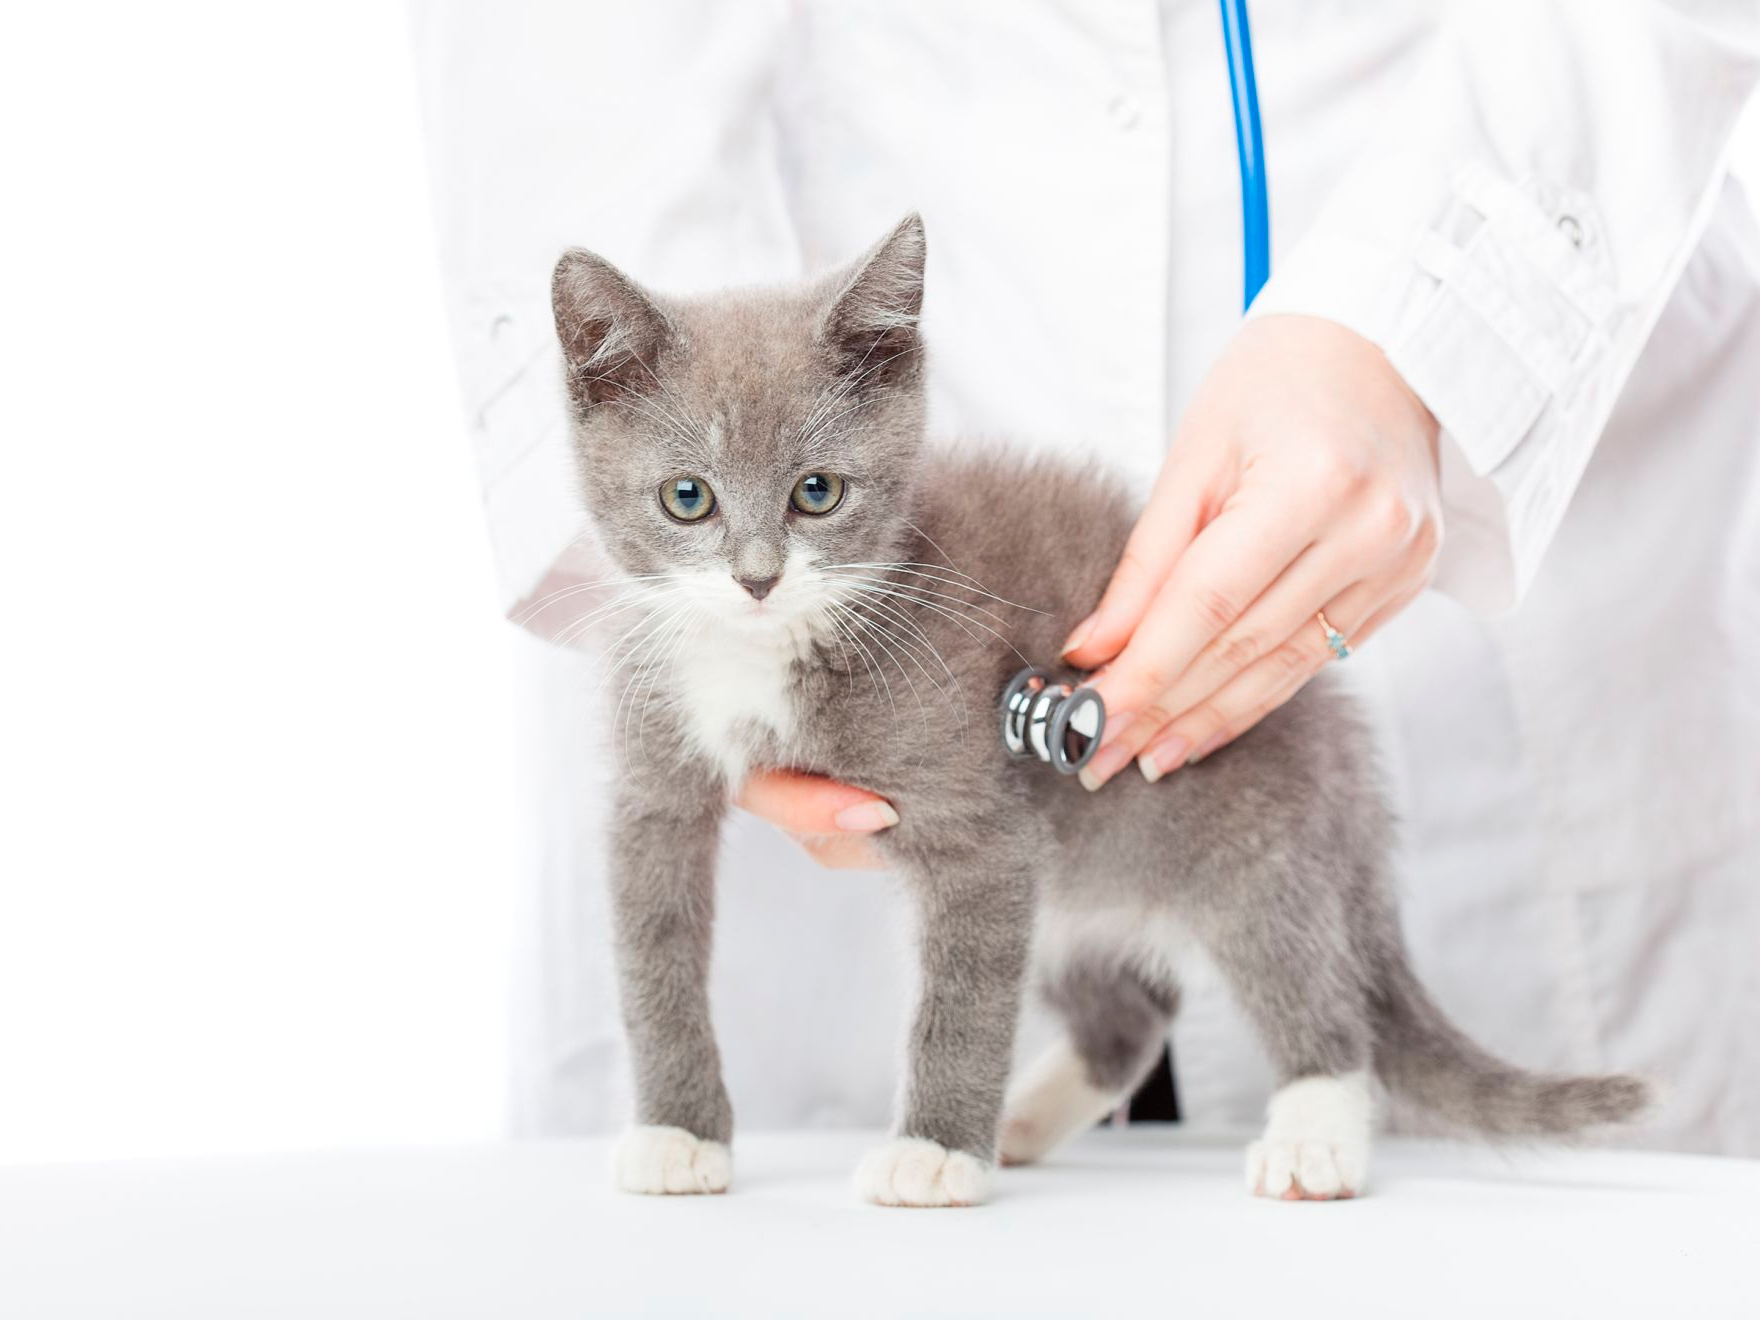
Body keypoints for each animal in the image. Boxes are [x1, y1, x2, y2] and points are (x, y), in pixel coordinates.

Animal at [549, 214, 1647, 1210]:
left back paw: (1311, 1137)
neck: (761, 653)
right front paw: (678, 1135)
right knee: (1129, 1010)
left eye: (817, 492)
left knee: (1317, 996)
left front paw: (934, 1155)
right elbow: (651, 957)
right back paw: (1029, 1118)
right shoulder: (652, 785)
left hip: (1255, 836)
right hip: (1083, 871)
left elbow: (963, 995)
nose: (757, 580)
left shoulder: (983, 827)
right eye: (686, 498)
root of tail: (1340, 744)